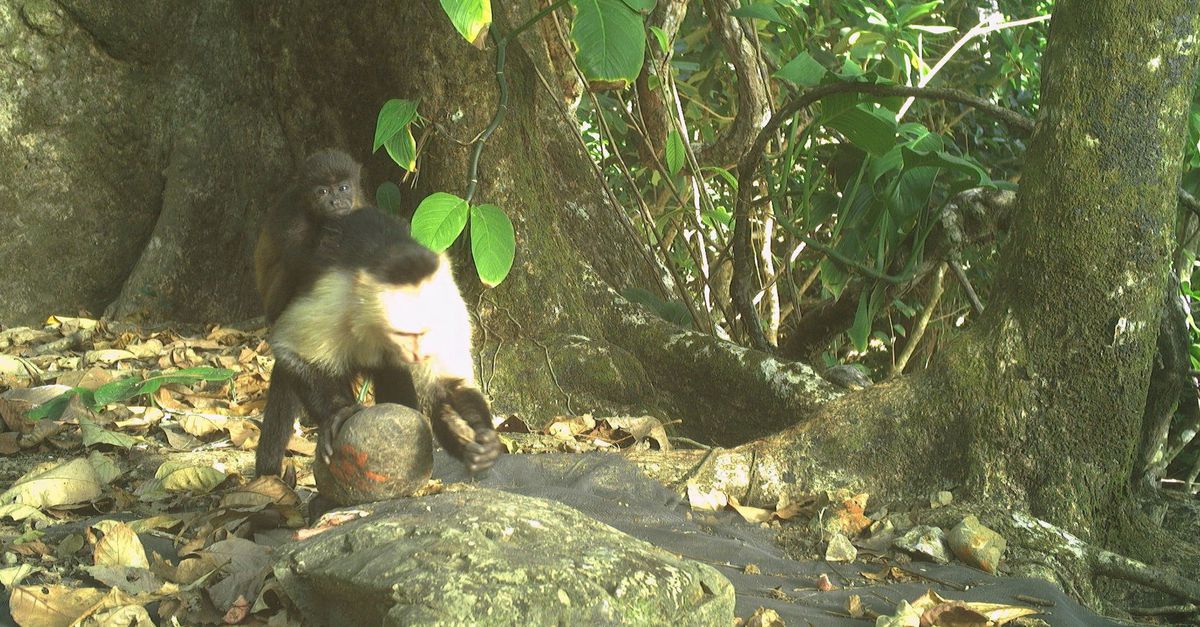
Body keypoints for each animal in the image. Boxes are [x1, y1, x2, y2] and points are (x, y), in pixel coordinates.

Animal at [253, 149, 365, 323]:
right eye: (323, 192)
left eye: (343, 188)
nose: (336, 202)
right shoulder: (293, 211)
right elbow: (298, 258)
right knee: (290, 267)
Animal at [254, 205, 503, 479]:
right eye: (404, 334)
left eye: (424, 333)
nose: (418, 354)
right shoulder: (335, 295)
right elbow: (289, 349)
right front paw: (340, 412)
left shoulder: (450, 303)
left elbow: (451, 385)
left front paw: (483, 440)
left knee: (395, 375)